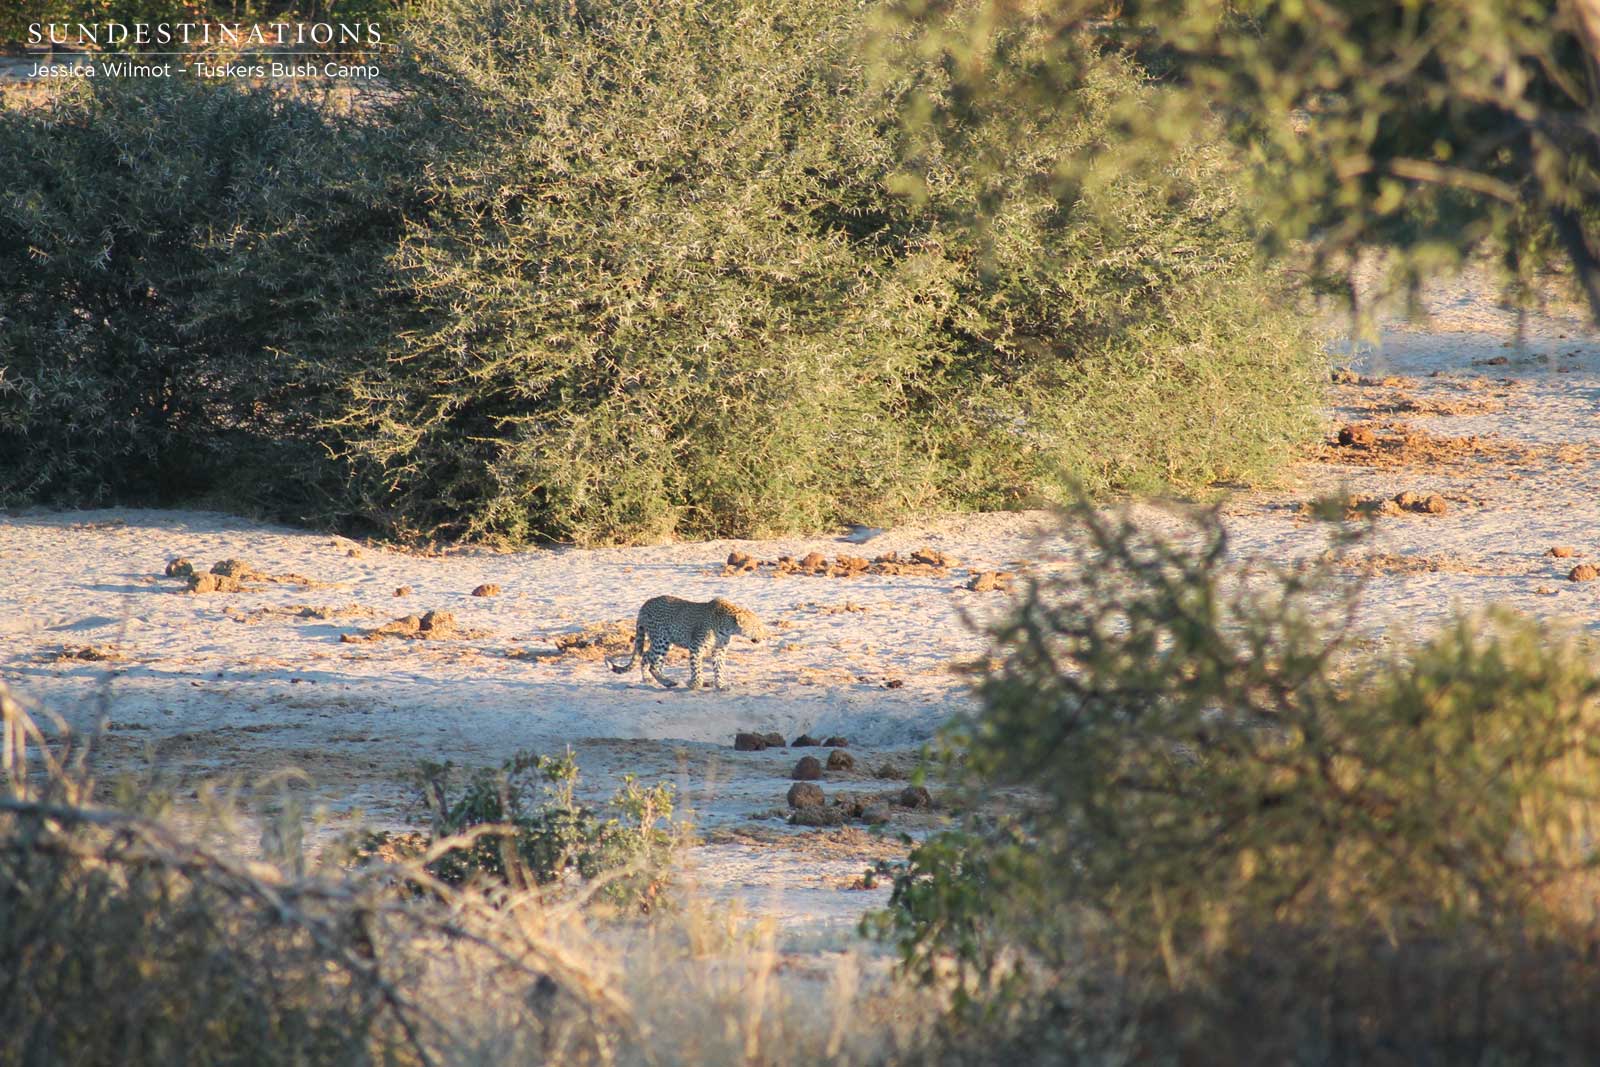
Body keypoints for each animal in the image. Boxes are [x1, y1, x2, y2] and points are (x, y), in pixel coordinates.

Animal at [609, 595, 770, 690]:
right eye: (757, 627)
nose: (764, 636)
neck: (727, 626)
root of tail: (644, 605)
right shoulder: (696, 647)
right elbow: (696, 668)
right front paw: (695, 684)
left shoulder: (719, 650)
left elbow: (719, 668)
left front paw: (720, 685)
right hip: (661, 639)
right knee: (653, 663)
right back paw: (667, 682)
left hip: (665, 642)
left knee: (647, 657)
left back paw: (651, 679)